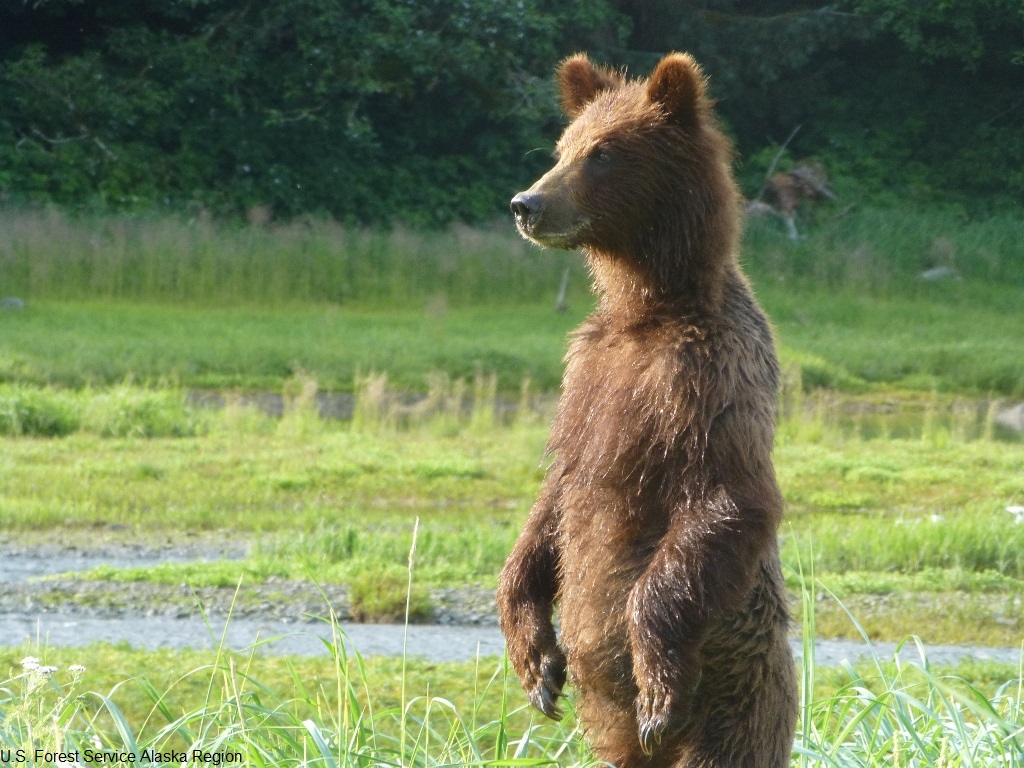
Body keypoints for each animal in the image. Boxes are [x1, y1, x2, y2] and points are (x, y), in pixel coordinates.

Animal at [497, 52, 798, 768]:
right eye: (564, 146)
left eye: (604, 153)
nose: (527, 203)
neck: (648, 309)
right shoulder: (587, 377)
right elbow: (556, 495)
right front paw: (537, 665)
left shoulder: (706, 375)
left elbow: (727, 497)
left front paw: (656, 690)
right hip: (616, 738)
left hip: (735, 697)